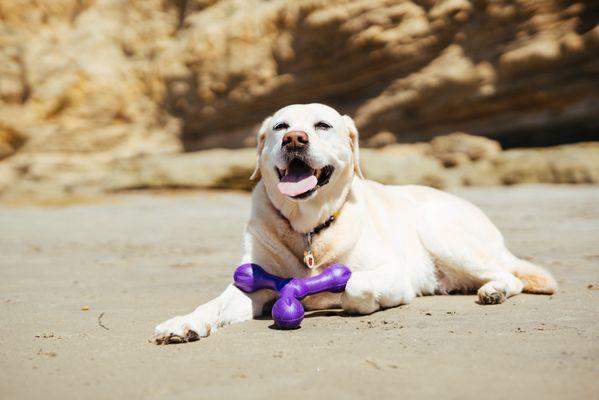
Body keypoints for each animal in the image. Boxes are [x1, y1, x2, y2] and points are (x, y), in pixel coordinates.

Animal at [154, 103, 556, 344]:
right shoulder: (251, 282)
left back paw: (494, 291)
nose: (294, 139)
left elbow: (353, 284)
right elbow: (214, 305)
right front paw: (184, 323)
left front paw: (339, 297)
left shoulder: (393, 272)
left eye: (322, 126)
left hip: (444, 234)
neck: (309, 229)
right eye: (281, 126)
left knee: (511, 276)